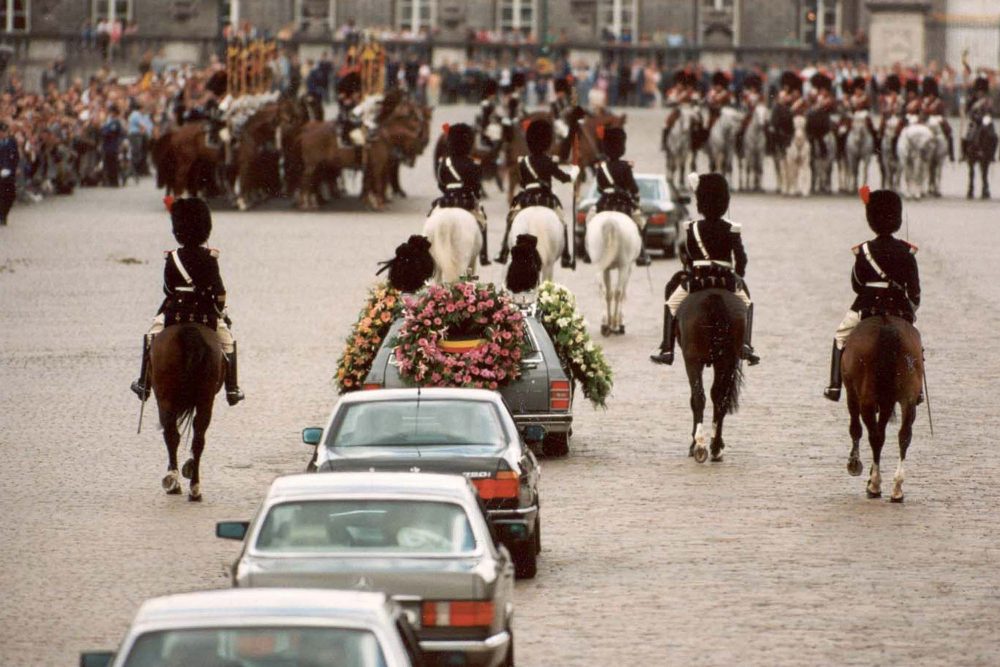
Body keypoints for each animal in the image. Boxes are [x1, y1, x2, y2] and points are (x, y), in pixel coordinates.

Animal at [149, 324, 222, 500]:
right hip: (205, 400)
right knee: (197, 440)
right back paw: (193, 486)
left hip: (165, 398)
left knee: (172, 436)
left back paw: (175, 482)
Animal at [676, 288, 748, 464]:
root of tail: (714, 297)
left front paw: (694, 444)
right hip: (726, 361)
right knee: (719, 398)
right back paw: (715, 448)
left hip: (693, 360)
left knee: (699, 397)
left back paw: (700, 446)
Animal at [844, 316, 920, 504]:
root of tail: (887, 325)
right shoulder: (888, 402)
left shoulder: (852, 393)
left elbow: (856, 428)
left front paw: (854, 464)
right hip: (908, 398)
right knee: (904, 435)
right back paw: (897, 489)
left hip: (866, 399)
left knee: (874, 437)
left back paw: (875, 485)